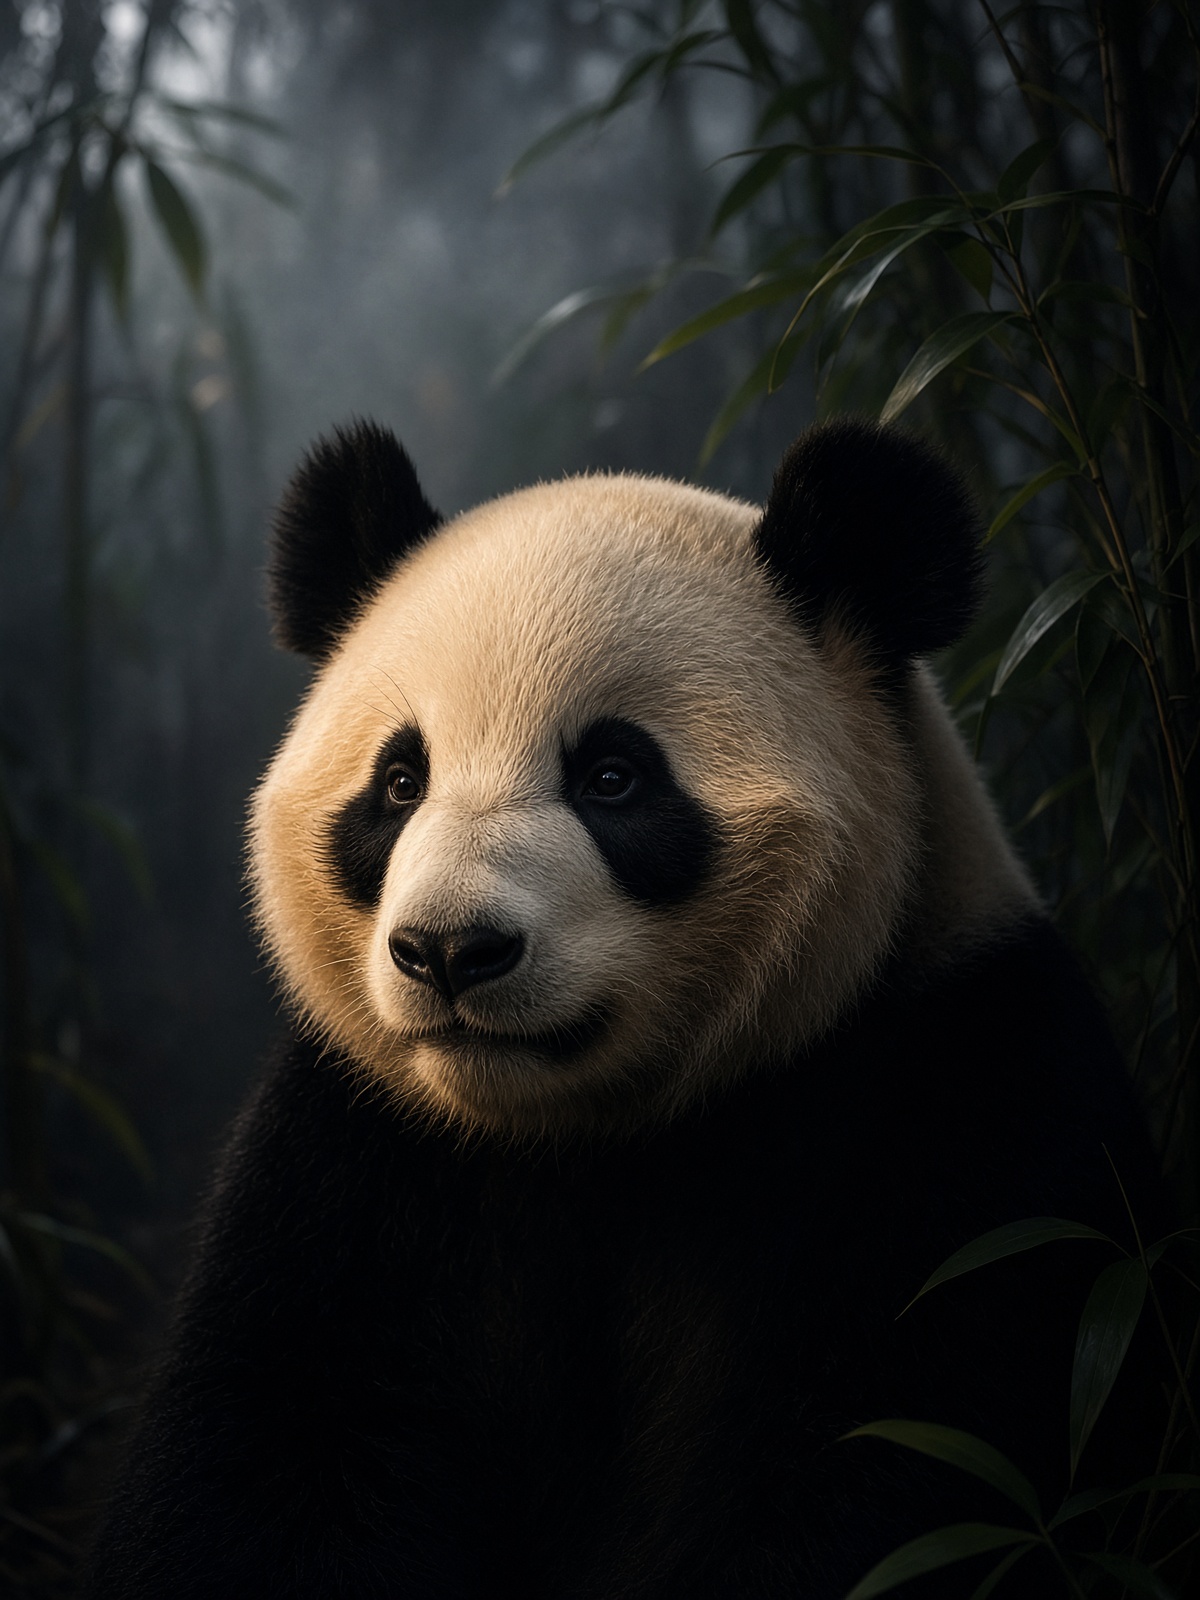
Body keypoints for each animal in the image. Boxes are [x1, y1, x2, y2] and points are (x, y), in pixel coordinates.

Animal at [87, 419, 1163, 1599]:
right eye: (400, 781)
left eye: (613, 776)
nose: (451, 951)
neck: (587, 1136)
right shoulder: (357, 1160)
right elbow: (269, 1450)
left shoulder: (957, 1099)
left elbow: (912, 1454)